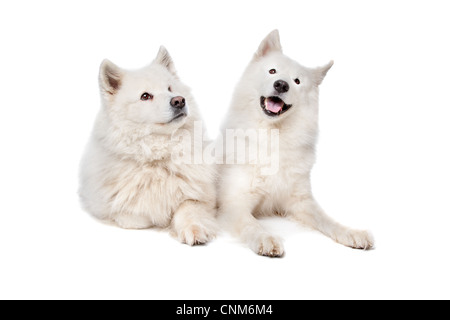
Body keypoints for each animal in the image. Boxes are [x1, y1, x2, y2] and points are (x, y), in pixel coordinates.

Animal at [80, 46, 218, 244]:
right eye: (145, 96)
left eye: (170, 88)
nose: (179, 100)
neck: (156, 158)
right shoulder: (110, 206)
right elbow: (136, 216)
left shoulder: (201, 196)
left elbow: (188, 209)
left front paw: (194, 229)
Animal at [218, 30, 372, 258]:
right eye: (272, 70)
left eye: (297, 81)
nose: (281, 84)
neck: (274, 135)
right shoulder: (233, 203)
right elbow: (251, 224)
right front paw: (265, 238)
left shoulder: (300, 201)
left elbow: (326, 219)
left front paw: (351, 233)